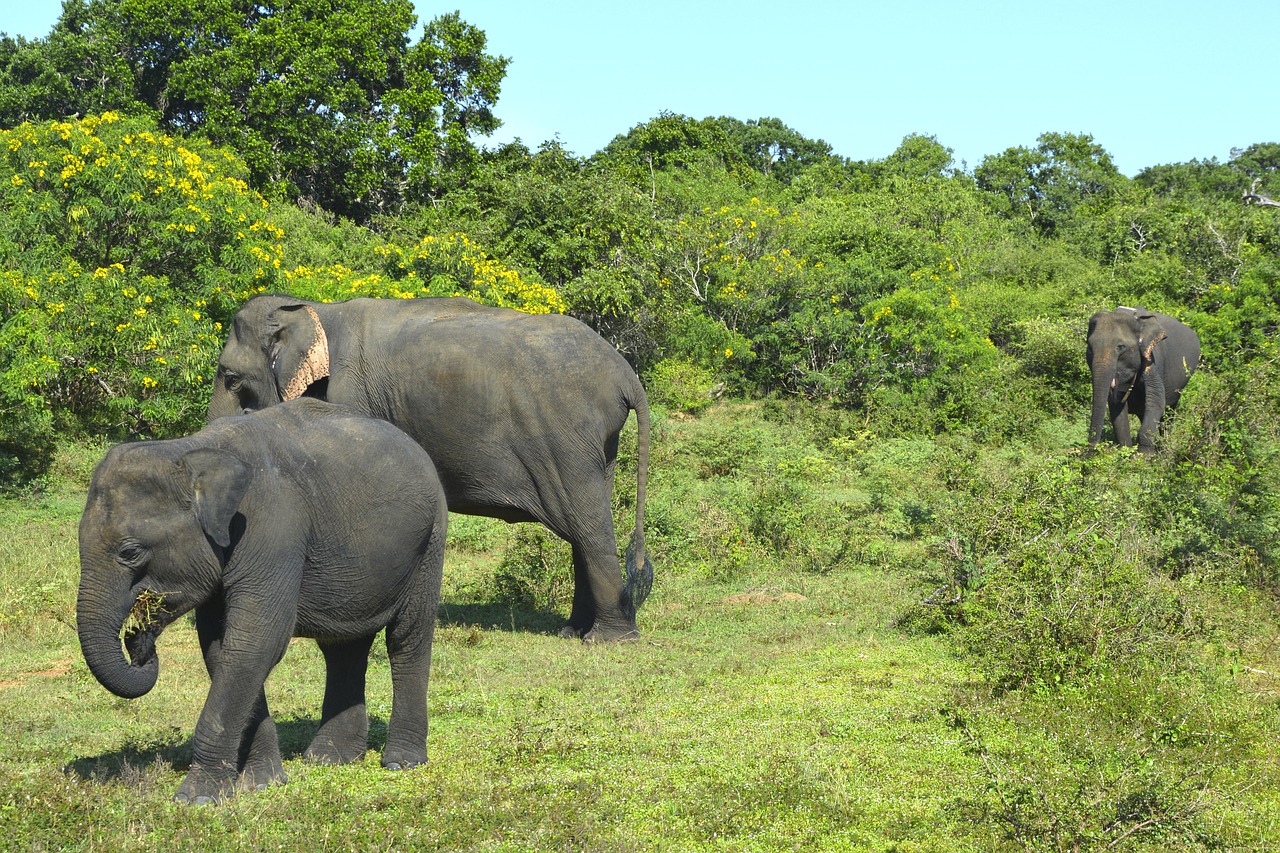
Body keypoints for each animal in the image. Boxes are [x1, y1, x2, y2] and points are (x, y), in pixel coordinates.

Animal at [74, 394, 448, 799]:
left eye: (130, 552)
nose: (138, 639)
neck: (191, 451)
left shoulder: (273, 529)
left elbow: (257, 641)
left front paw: (197, 797)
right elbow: (222, 647)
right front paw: (262, 783)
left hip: (431, 538)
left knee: (406, 638)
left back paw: (401, 762)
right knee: (343, 648)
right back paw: (329, 760)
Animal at [208, 295, 655, 640]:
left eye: (230, 377)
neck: (315, 309)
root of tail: (625, 375)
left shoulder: (349, 398)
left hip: (565, 436)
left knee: (587, 525)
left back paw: (607, 639)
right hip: (595, 446)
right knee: (584, 523)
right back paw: (573, 632)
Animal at [1090, 306, 1198, 450]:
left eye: (1120, 347)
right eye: (1089, 348)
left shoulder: (1151, 359)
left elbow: (1156, 401)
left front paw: (1143, 454)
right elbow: (1116, 407)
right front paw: (1126, 451)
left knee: (1168, 414)